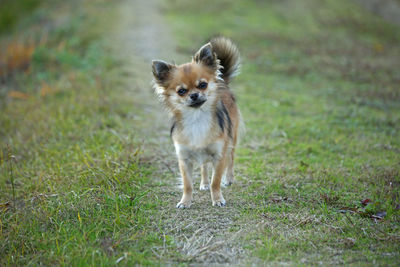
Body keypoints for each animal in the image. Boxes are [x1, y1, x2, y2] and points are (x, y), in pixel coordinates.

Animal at [152, 36, 241, 208]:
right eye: (181, 91)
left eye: (202, 85)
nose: (194, 95)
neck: (196, 117)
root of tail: (223, 81)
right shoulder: (184, 159)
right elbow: (187, 184)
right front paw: (185, 201)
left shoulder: (219, 155)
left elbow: (216, 181)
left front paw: (217, 199)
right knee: (204, 166)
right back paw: (204, 183)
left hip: (232, 139)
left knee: (231, 160)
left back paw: (229, 179)